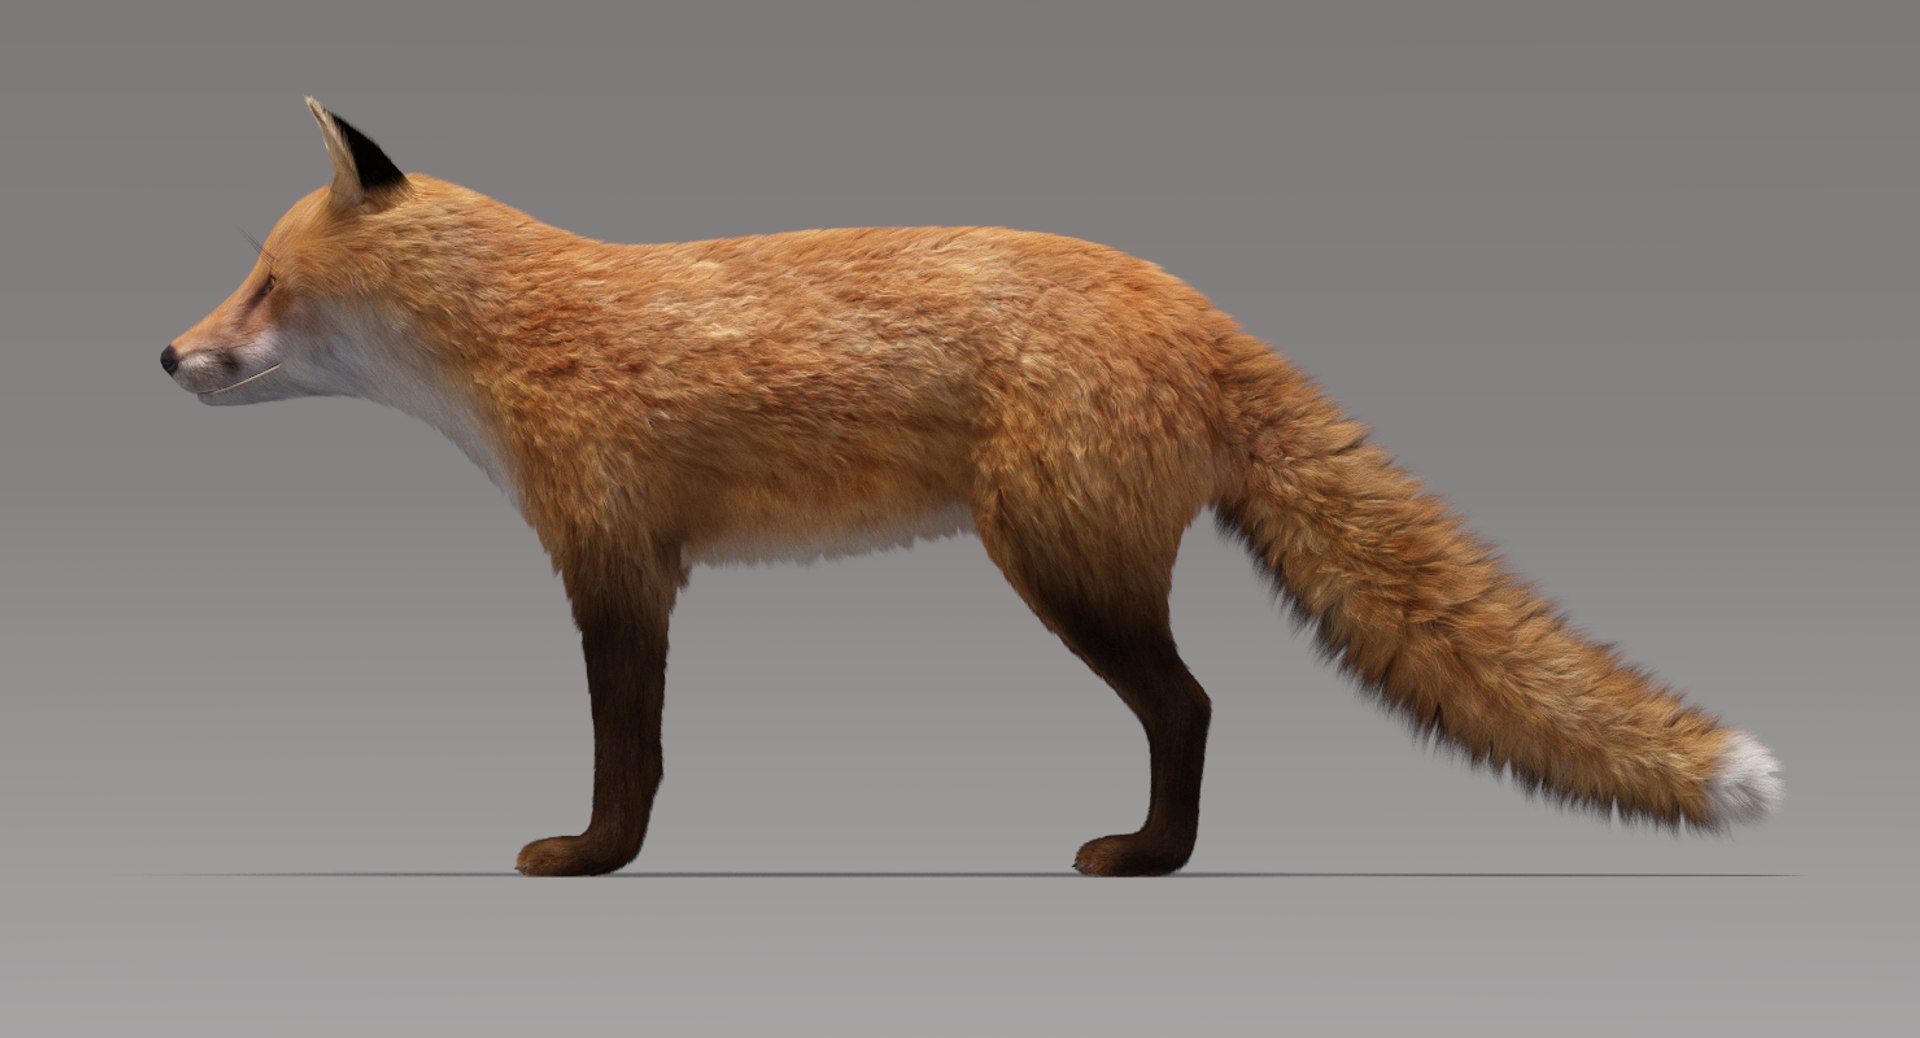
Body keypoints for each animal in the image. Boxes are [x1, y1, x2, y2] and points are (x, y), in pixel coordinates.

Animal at [164, 99, 1781, 876]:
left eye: (267, 285)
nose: (168, 354)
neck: (525, 334)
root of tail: (1196, 306)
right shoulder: (638, 567)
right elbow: (646, 750)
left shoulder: (616, 564)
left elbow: (631, 756)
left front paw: (594, 861)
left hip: (1060, 565)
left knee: (1192, 706)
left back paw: (1148, 859)